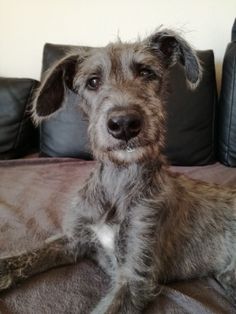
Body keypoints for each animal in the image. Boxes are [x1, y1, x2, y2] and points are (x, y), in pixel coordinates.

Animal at [0, 29, 236, 314]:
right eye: (92, 81)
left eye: (146, 72)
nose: (124, 124)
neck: (118, 182)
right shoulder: (73, 239)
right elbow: (28, 255)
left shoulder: (136, 274)